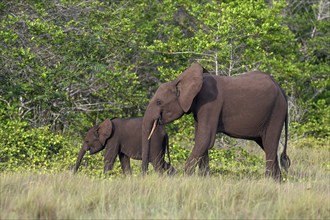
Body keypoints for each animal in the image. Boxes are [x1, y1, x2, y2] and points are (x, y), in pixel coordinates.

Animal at [141, 62, 290, 180]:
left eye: (159, 102)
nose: (145, 173)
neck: (179, 81)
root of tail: (282, 90)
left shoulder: (210, 103)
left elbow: (205, 138)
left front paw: (187, 178)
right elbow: (201, 139)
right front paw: (203, 178)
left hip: (276, 112)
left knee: (270, 145)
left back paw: (269, 181)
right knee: (268, 146)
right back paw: (277, 181)